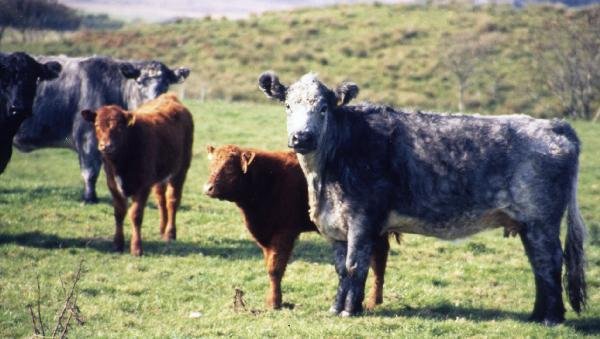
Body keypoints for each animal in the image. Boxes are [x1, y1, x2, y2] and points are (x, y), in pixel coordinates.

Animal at [13, 56, 190, 203]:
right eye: (139, 82)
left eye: (166, 84)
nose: (154, 103)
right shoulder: (88, 139)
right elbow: (90, 171)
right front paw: (90, 198)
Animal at [82, 93, 193, 255]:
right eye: (96, 125)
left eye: (119, 127)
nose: (105, 146)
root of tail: (169, 97)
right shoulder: (113, 184)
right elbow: (119, 212)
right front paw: (117, 244)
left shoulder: (143, 185)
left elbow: (136, 214)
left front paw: (136, 248)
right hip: (160, 177)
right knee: (161, 200)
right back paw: (162, 229)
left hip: (180, 170)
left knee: (172, 200)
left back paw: (170, 233)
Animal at [204, 145, 396, 310]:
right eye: (211, 165)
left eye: (230, 168)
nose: (208, 188)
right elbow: (269, 266)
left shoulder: (284, 233)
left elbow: (275, 269)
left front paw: (275, 303)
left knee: (378, 260)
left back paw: (372, 301)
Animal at [258, 71, 584, 326]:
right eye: (288, 105)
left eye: (324, 108)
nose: (302, 137)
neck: (324, 177)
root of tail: (554, 125)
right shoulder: (336, 225)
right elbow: (341, 269)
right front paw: (336, 307)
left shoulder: (363, 219)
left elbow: (355, 266)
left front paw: (351, 311)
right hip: (529, 225)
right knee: (538, 264)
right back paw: (537, 315)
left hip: (541, 220)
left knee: (549, 262)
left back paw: (552, 318)